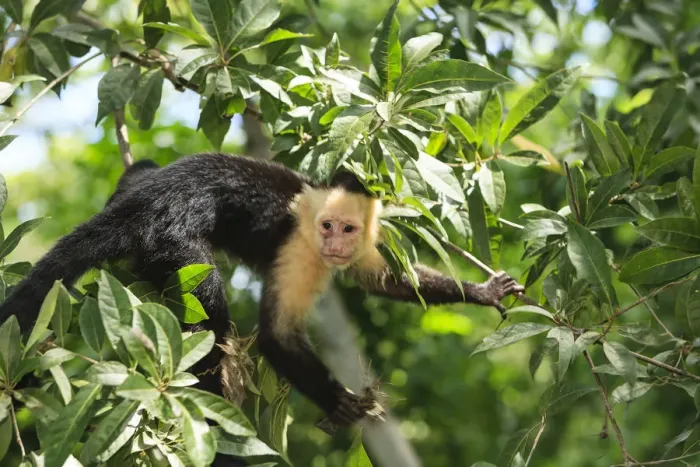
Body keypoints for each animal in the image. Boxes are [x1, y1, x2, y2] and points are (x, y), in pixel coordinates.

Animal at [0, 153, 524, 428]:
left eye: (348, 229)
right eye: (327, 226)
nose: (334, 243)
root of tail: (144, 202)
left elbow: (385, 279)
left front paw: (483, 292)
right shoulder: (301, 249)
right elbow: (277, 335)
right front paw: (339, 402)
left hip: (140, 191)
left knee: (140, 170)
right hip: (171, 237)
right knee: (208, 297)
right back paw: (212, 384)